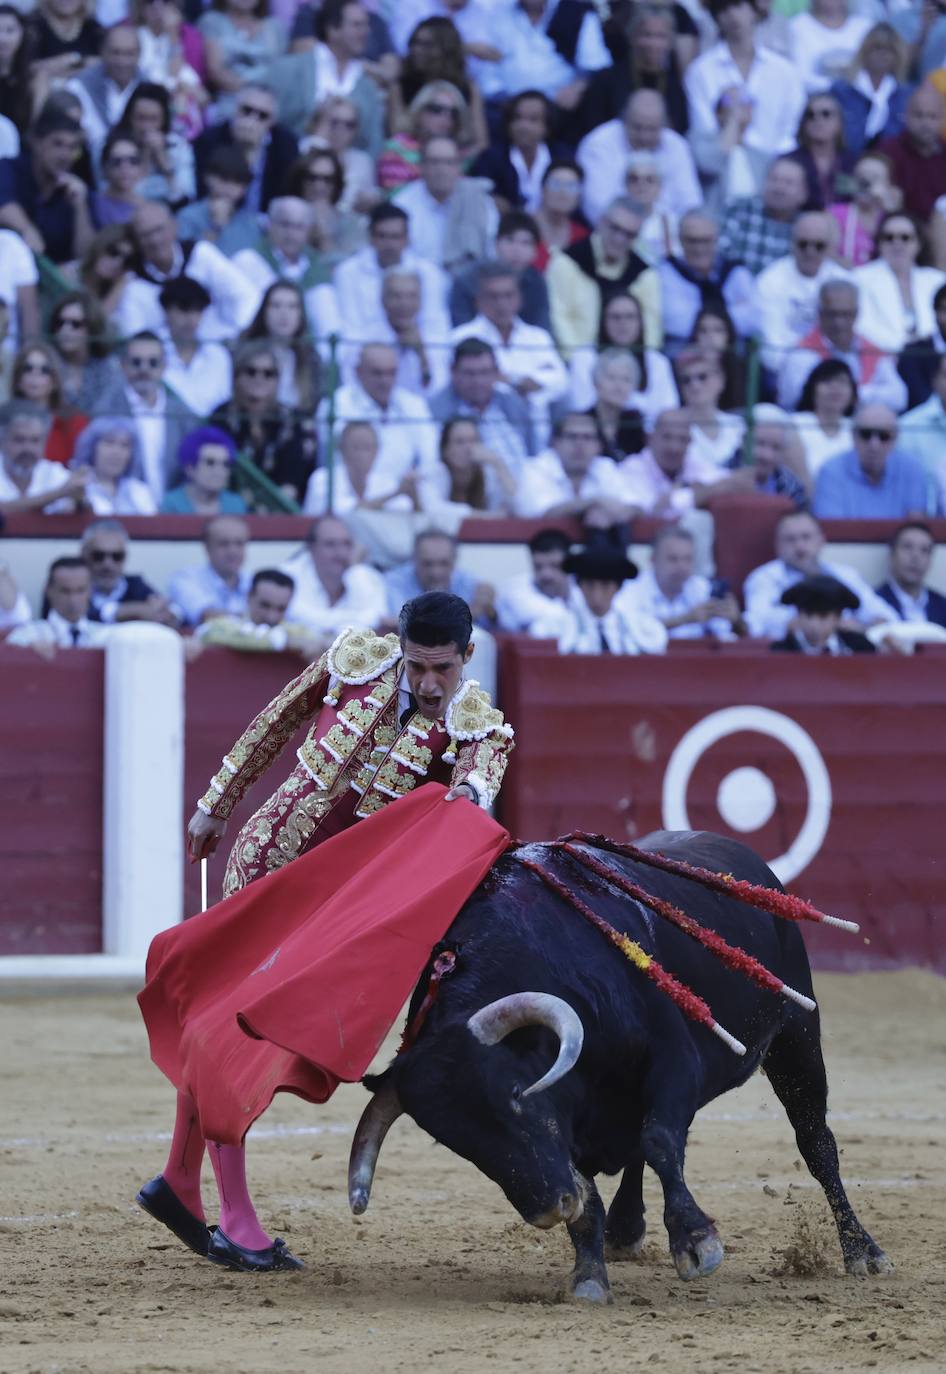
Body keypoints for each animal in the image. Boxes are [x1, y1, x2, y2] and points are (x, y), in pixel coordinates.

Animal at [347, 829, 884, 1302]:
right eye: (454, 1141)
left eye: (515, 1094)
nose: (549, 1208)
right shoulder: (568, 1129)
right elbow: (596, 1187)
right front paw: (589, 1276)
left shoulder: (674, 1061)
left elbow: (660, 1140)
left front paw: (697, 1243)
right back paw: (625, 1230)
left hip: (796, 1037)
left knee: (816, 1143)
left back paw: (862, 1251)